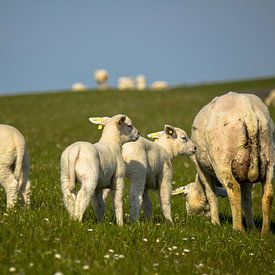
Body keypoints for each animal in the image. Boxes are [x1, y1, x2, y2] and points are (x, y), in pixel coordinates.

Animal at [184, 92, 274, 235]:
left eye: (186, 198)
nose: (189, 215)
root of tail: (248, 112)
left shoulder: (200, 167)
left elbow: (211, 194)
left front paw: (215, 223)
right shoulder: (245, 175)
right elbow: (247, 200)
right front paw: (252, 228)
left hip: (222, 160)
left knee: (234, 189)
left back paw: (237, 229)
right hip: (269, 155)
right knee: (268, 193)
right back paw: (264, 232)